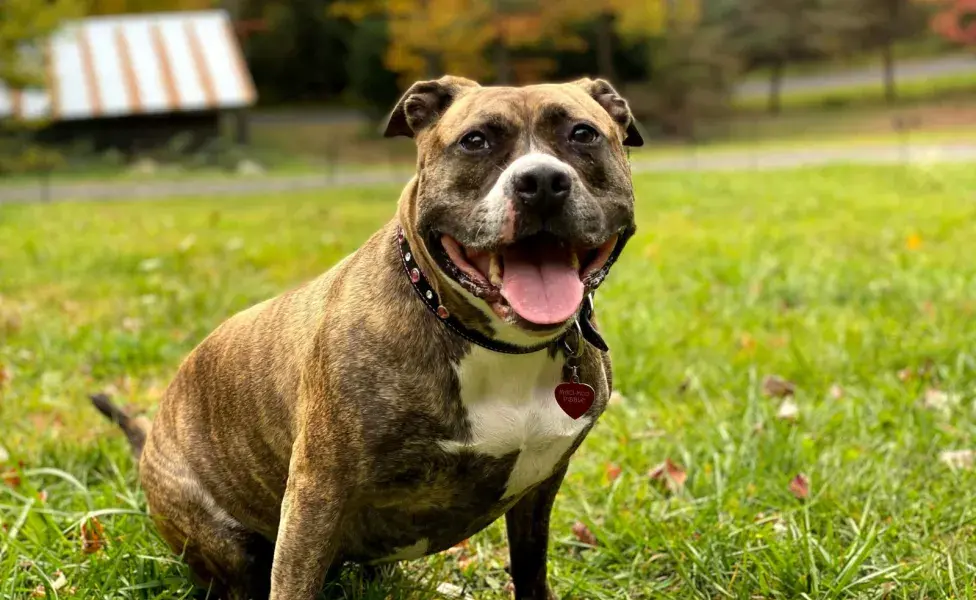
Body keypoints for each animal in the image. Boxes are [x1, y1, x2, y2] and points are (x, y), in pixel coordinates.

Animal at [89, 76, 640, 600]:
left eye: (583, 134)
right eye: (475, 140)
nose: (542, 181)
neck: (487, 340)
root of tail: (152, 434)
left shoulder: (541, 486)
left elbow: (530, 569)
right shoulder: (317, 491)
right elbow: (292, 584)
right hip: (223, 538)